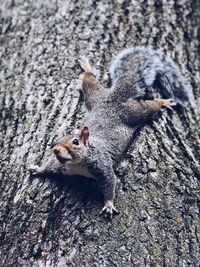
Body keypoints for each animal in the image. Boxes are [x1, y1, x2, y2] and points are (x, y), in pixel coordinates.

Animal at [28, 46, 195, 218]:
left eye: (75, 142)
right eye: (54, 142)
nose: (56, 150)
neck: (76, 164)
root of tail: (115, 98)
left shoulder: (102, 166)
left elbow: (110, 183)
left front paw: (108, 204)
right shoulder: (61, 165)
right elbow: (49, 165)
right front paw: (38, 169)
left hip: (135, 112)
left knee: (150, 106)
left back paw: (163, 101)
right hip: (95, 95)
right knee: (89, 80)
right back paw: (87, 66)